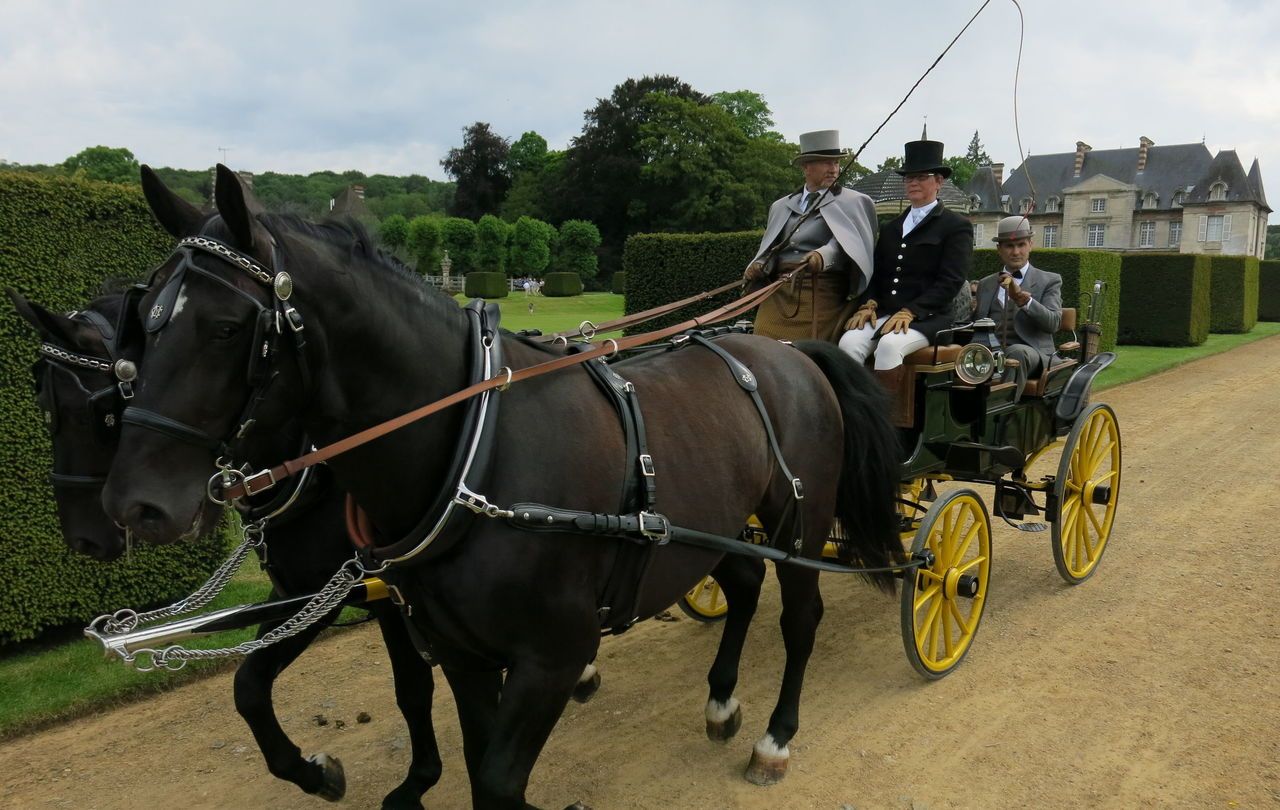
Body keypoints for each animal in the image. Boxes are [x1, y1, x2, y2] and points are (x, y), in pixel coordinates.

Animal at [8, 287, 445, 803]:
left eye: (90, 412)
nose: (84, 539)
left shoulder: (387, 597)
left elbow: (412, 688)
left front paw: (418, 781)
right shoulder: (306, 594)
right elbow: (249, 686)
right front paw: (314, 773)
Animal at [104, 166, 901, 808]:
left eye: (226, 326)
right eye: (141, 322)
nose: (133, 505)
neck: (477, 452)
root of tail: (786, 349)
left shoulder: (551, 658)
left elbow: (493, 779)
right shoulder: (459, 651)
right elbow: (471, 758)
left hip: (800, 523)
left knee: (800, 617)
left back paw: (775, 736)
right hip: (721, 525)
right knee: (740, 585)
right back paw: (722, 701)